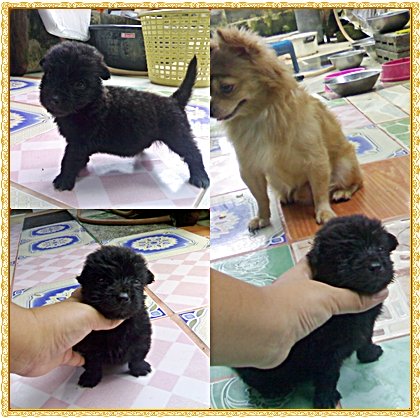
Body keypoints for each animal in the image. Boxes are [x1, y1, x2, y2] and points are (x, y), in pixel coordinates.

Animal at [39, 41, 209, 191]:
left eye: (79, 84)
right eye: (50, 75)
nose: (54, 99)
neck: (88, 105)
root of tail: (173, 100)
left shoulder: (78, 143)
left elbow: (68, 160)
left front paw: (63, 180)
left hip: (178, 136)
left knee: (193, 153)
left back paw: (200, 177)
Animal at [73, 245, 154, 388]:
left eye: (136, 281)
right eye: (101, 280)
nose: (123, 297)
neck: (117, 327)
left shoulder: (142, 335)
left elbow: (138, 354)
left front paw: (140, 369)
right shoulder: (89, 345)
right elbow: (93, 364)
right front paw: (90, 378)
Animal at [210, 28, 363, 230]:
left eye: (227, 88)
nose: (210, 110)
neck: (258, 117)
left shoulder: (316, 162)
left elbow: (320, 191)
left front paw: (324, 212)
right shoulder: (251, 170)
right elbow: (261, 198)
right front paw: (263, 217)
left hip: (345, 166)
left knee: (357, 182)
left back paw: (343, 191)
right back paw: (285, 197)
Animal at [236, 215, 398, 408]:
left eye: (380, 247)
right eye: (345, 256)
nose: (375, 266)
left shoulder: (368, 324)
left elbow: (366, 338)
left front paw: (369, 354)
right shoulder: (326, 350)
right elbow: (328, 376)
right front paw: (326, 399)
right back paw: (275, 391)